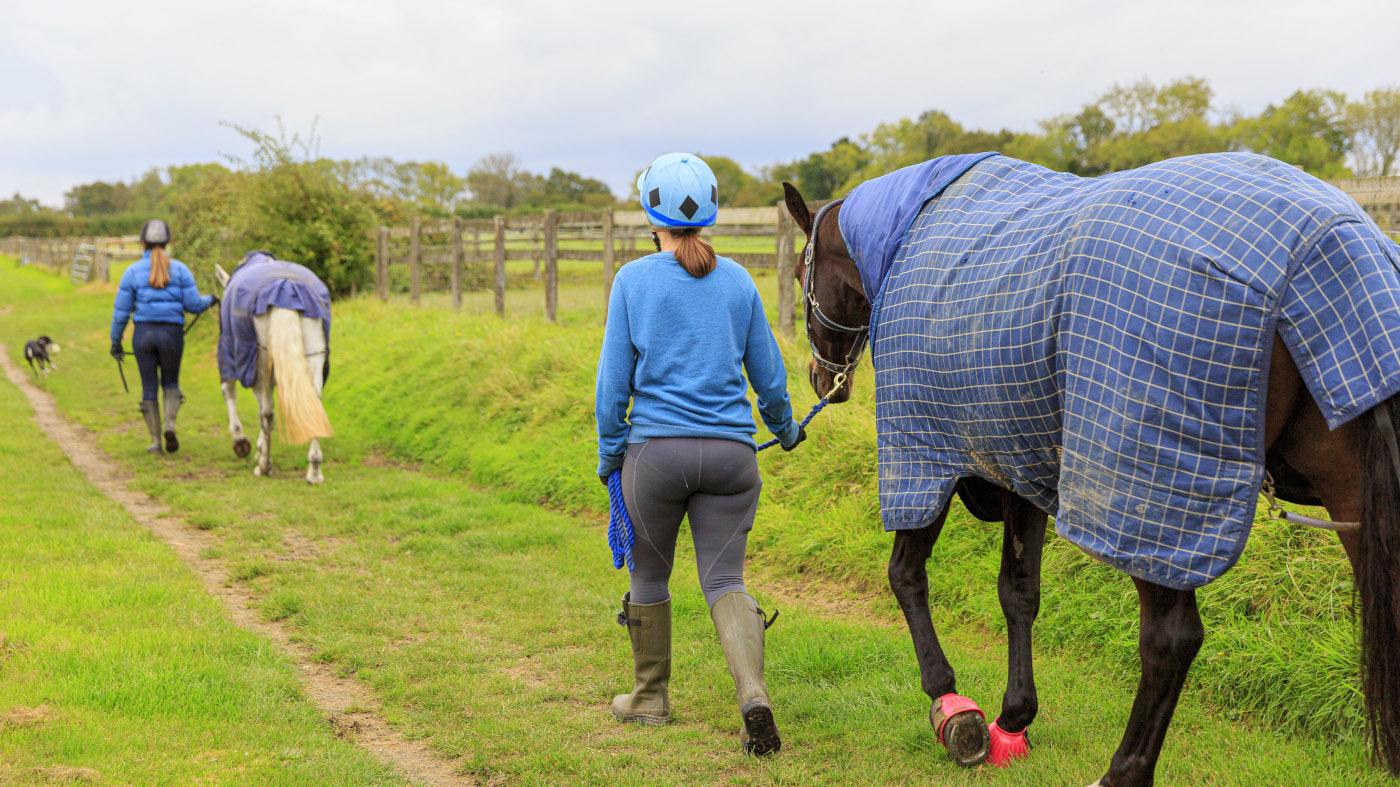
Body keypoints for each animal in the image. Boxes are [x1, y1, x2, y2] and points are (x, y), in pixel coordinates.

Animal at [213, 251, 334, 484]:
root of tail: (287, 288)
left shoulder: (234, 359)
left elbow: (230, 393)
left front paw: (242, 442)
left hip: (261, 363)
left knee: (267, 414)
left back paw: (265, 466)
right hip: (313, 359)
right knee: (313, 405)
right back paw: (314, 470)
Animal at [783, 151, 1400, 786]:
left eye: (802, 276)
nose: (819, 378)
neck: (905, 238)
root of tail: (1334, 246)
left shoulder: (925, 455)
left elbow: (905, 576)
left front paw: (951, 705)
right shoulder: (1017, 465)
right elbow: (1019, 593)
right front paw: (1013, 719)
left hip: (1151, 499)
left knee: (1170, 640)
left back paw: (1122, 771)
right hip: (1348, 493)